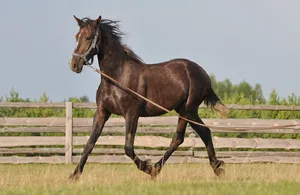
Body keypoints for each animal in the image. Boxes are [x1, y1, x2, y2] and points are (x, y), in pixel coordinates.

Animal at [68, 15, 227, 180]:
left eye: (89, 37)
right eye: (76, 36)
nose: (74, 64)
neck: (117, 78)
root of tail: (203, 74)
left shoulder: (132, 114)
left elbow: (128, 148)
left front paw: (146, 166)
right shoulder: (102, 112)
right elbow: (89, 144)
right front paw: (74, 176)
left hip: (187, 110)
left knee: (179, 138)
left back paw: (155, 169)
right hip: (187, 111)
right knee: (203, 132)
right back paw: (217, 168)